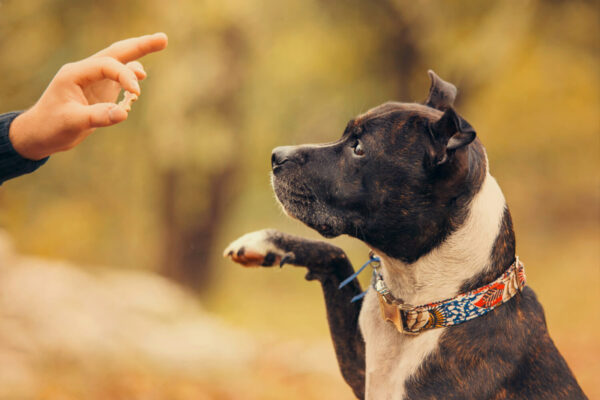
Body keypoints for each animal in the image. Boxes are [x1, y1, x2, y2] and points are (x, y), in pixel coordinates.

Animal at [223, 72, 584, 400]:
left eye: (358, 148)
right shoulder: (360, 369)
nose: (276, 156)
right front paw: (265, 243)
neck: (420, 308)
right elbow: (335, 256)